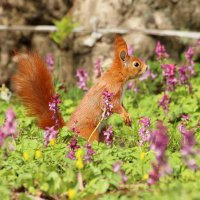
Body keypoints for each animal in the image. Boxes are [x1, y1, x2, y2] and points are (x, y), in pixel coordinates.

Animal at [11, 35, 148, 143]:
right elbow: (115, 106)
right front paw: (125, 115)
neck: (119, 76)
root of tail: (66, 130)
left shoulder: (120, 97)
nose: (147, 67)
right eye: (136, 64)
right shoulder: (111, 91)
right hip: (90, 133)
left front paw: (128, 117)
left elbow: (122, 106)